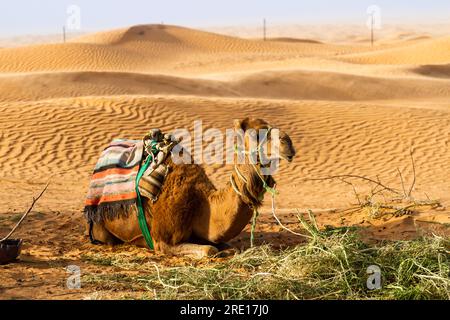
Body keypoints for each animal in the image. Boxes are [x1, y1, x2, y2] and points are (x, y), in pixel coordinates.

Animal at [89, 117, 298, 258]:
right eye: (257, 133)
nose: (288, 142)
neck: (201, 202)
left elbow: (230, 247)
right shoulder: (162, 241)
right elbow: (209, 250)